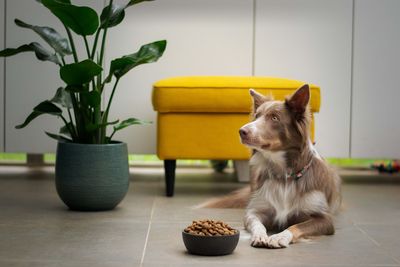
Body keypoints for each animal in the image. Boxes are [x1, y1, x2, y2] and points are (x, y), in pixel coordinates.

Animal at [202, 85, 342, 249]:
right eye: (256, 116)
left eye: (274, 118)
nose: (241, 131)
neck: (285, 176)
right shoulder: (255, 210)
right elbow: (257, 223)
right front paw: (260, 236)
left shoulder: (324, 219)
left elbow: (295, 226)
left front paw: (279, 237)